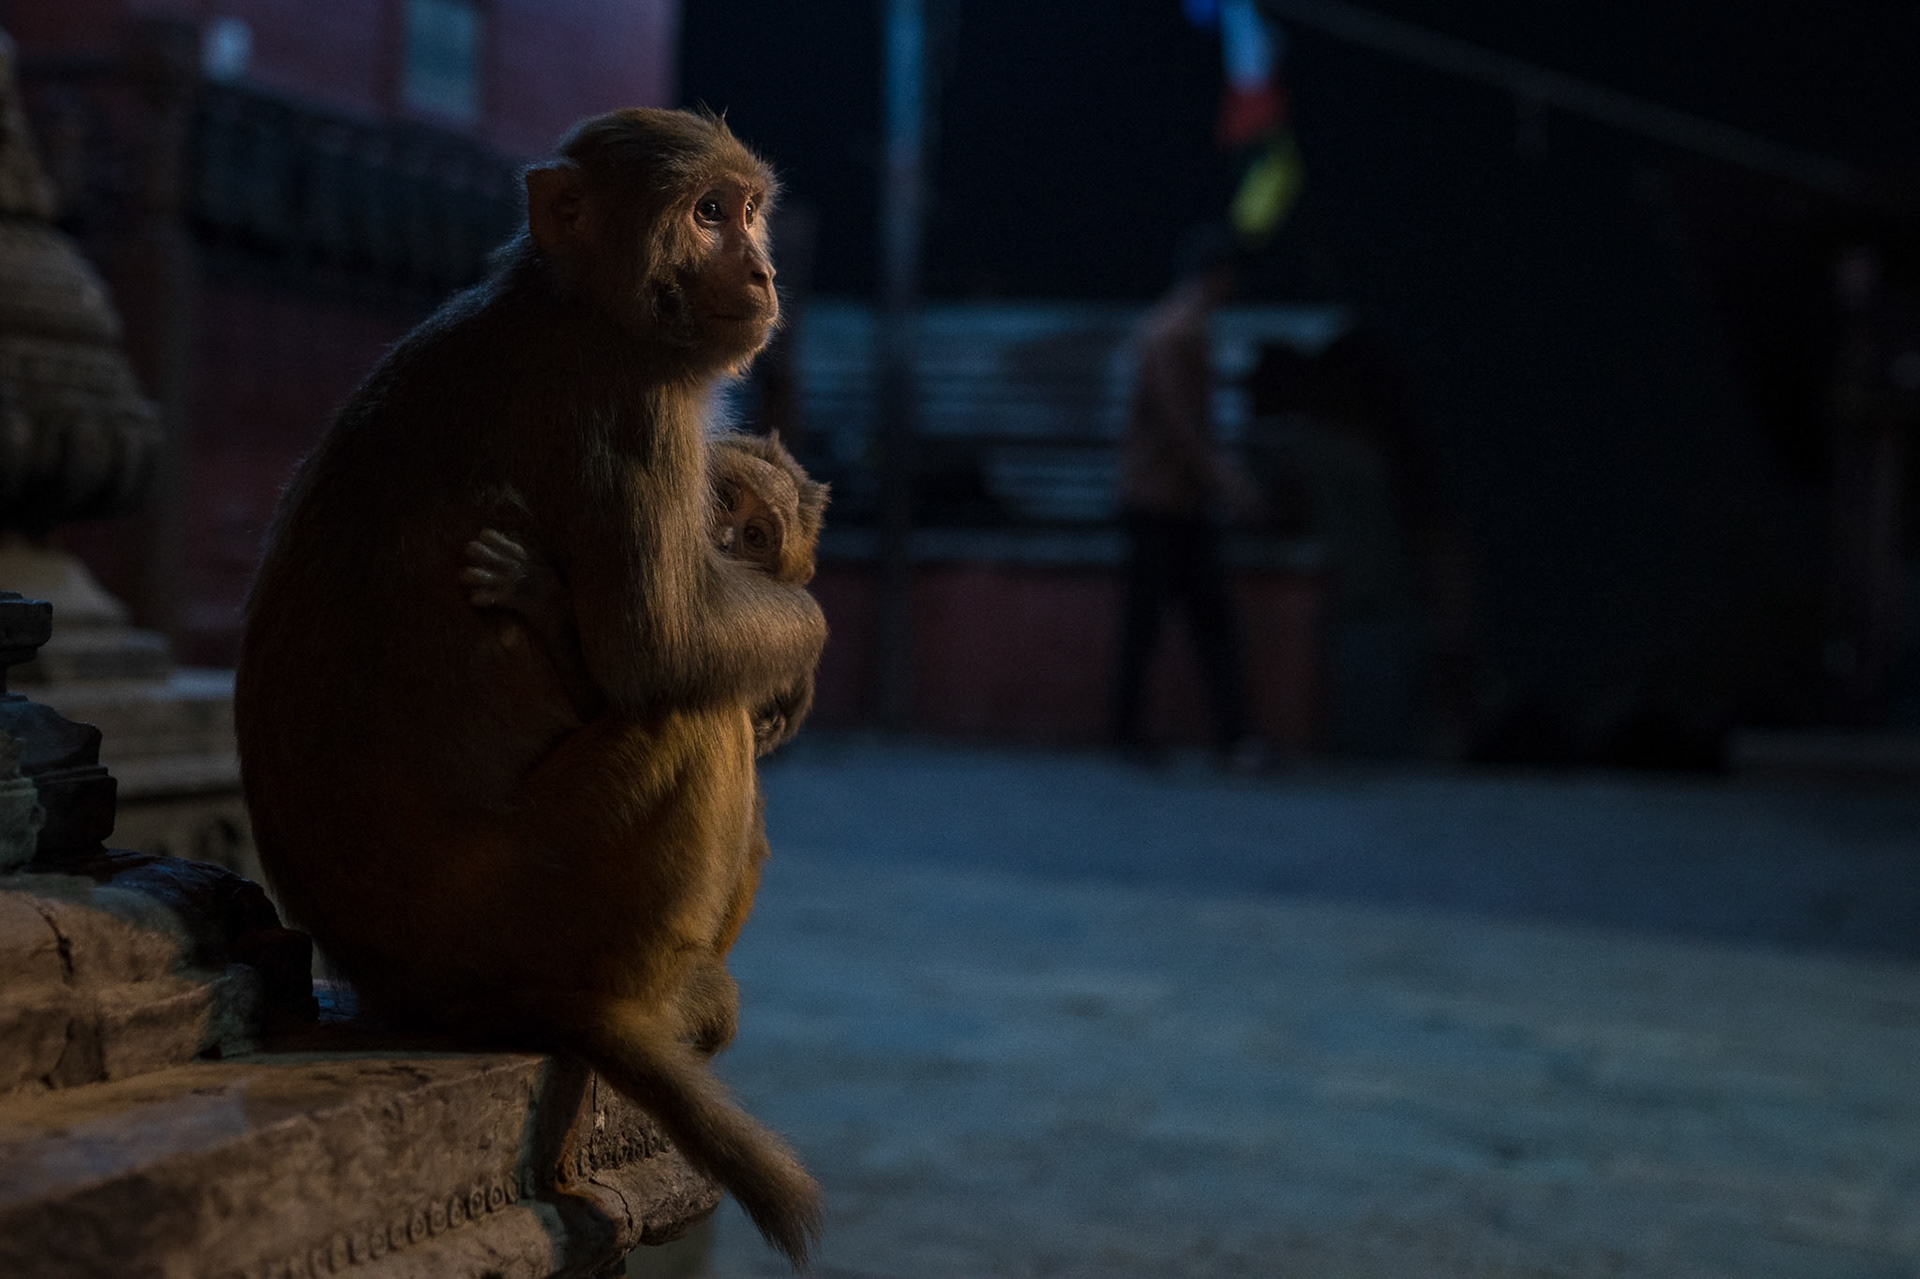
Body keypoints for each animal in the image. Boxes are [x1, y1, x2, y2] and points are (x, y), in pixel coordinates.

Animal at [234, 109, 825, 1268]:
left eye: (749, 211)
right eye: (709, 213)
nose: (765, 270)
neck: (572, 302)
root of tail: (434, 991)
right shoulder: (633, 407)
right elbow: (662, 648)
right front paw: (809, 641)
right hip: (545, 904)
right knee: (698, 716)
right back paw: (659, 1003)